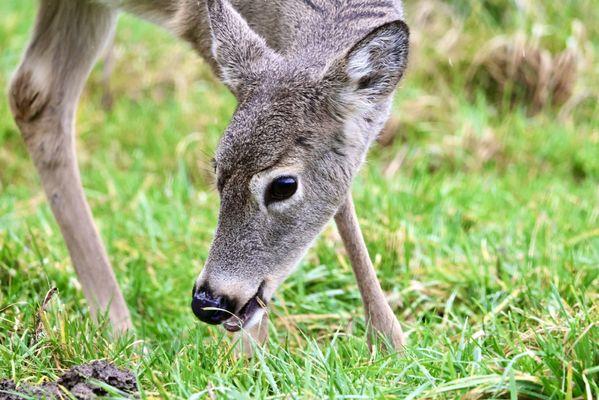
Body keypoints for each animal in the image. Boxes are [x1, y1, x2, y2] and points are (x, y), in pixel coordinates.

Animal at [9, 0, 410, 350]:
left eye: (284, 185)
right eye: (218, 170)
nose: (208, 301)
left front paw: (390, 342)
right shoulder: (198, 24)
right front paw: (251, 357)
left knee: (35, 93)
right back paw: (122, 334)